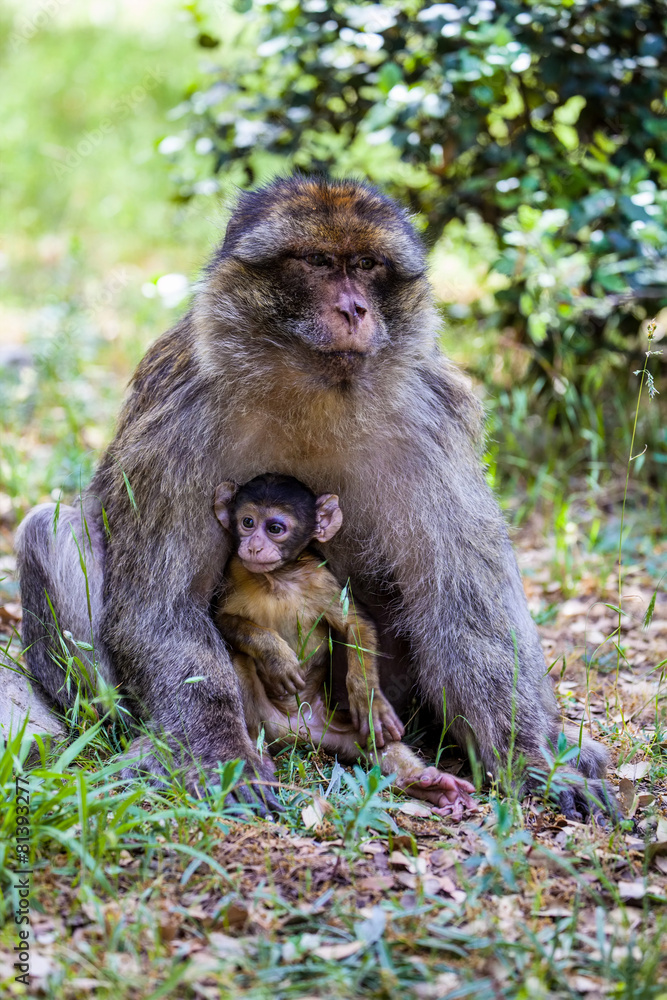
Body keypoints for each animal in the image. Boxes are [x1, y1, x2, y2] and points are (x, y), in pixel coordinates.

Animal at [217, 472, 478, 816]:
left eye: (274, 528)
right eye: (247, 522)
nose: (254, 546)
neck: (278, 579)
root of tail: (295, 732)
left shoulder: (320, 580)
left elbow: (356, 623)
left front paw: (368, 699)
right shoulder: (234, 571)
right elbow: (223, 620)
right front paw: (277, 658)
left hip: (330, 728)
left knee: (372, 740)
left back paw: (429, 783)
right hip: (265, 722)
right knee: (240, 660)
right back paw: (256, 756)